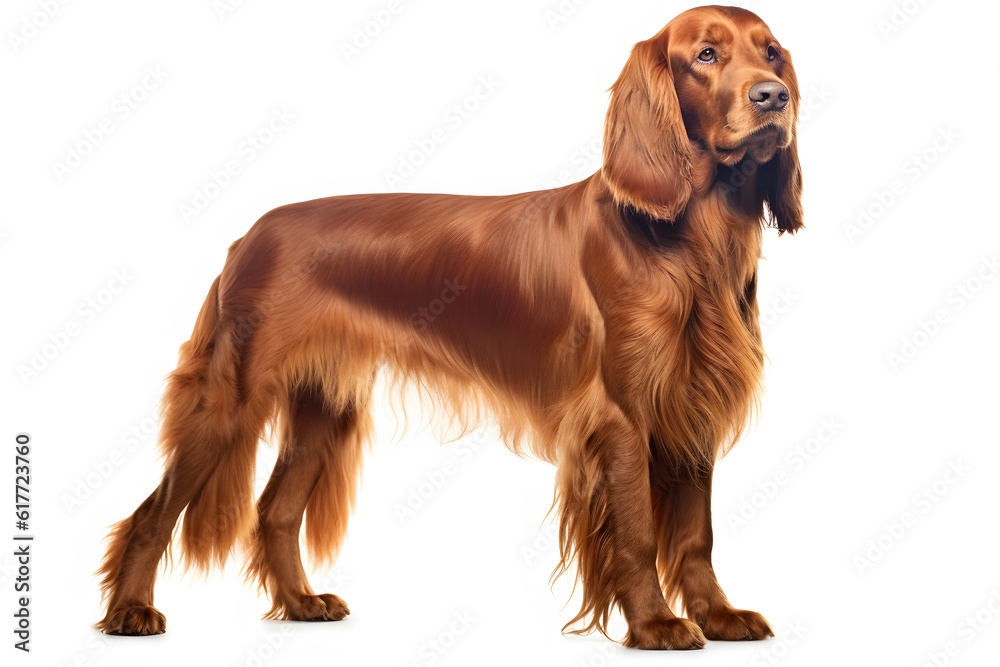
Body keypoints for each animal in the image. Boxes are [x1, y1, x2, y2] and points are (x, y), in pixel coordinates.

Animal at [99, 5, 804, 648]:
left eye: (770, 52)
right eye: (705, 55)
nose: (774, 96)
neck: (692, 241)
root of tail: (246, 237)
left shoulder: (691, 404)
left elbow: (694, 533)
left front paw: (718, 615)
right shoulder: (624, 414)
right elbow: (634, 533)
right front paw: (656, 624)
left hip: (324, 406)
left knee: (274, 511)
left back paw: (300, 603)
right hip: (232, 398)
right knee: (153, 512)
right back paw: (130, 612)